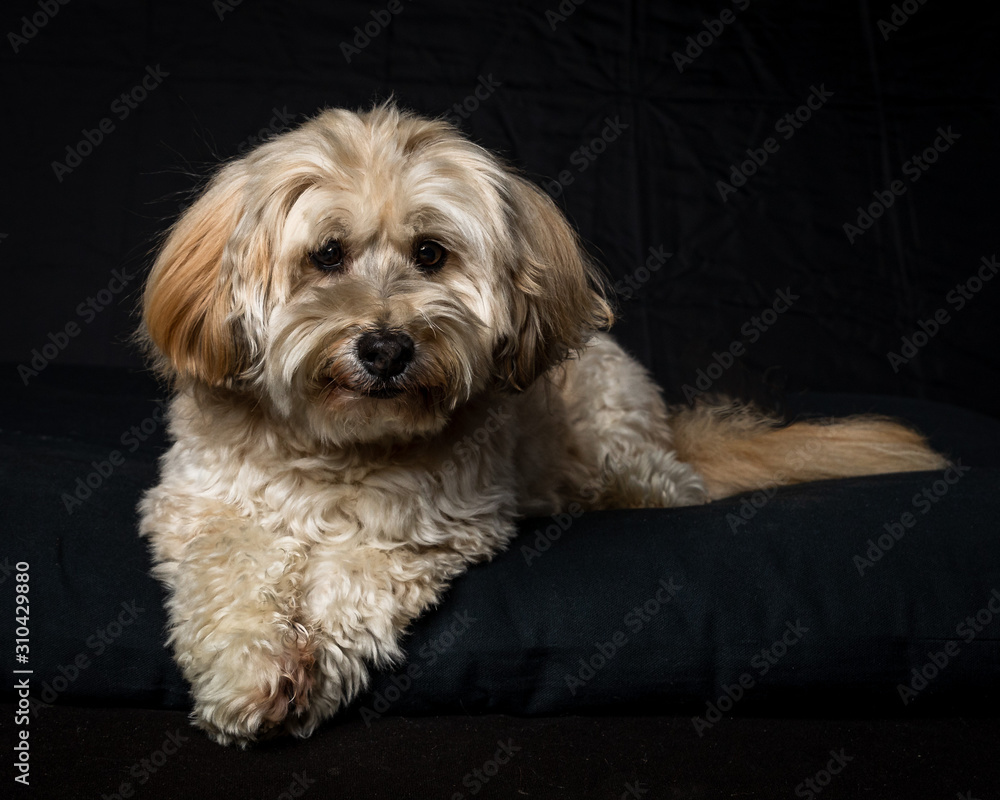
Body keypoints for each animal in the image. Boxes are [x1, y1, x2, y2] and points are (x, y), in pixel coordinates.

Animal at [139, 103, 944, 748]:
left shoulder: (429, 524)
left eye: (430, 253)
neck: (338, 445)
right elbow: (230, 571)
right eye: (327, 255)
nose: (387, 349)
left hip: (623, 457)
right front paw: (251, 676)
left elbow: (353, 579)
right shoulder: (198, 504)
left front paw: (311, 662)